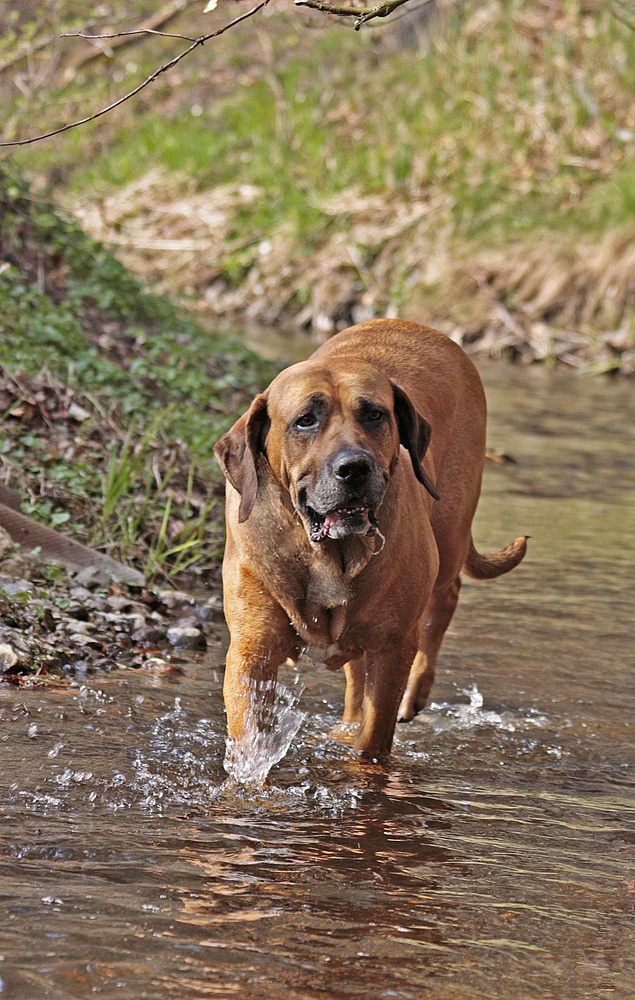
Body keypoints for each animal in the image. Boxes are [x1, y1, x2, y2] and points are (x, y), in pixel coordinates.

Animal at [214, 320, 528, 764]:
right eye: (305, 420)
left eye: (375, 414)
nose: (354, 467)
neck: (325, 554)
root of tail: (422, 327)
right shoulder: (251, 651)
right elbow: (250, 740)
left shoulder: (393, 648)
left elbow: (374, 739)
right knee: (356, 672)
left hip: (448, 535)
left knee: (444, 598)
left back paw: (415, 692)